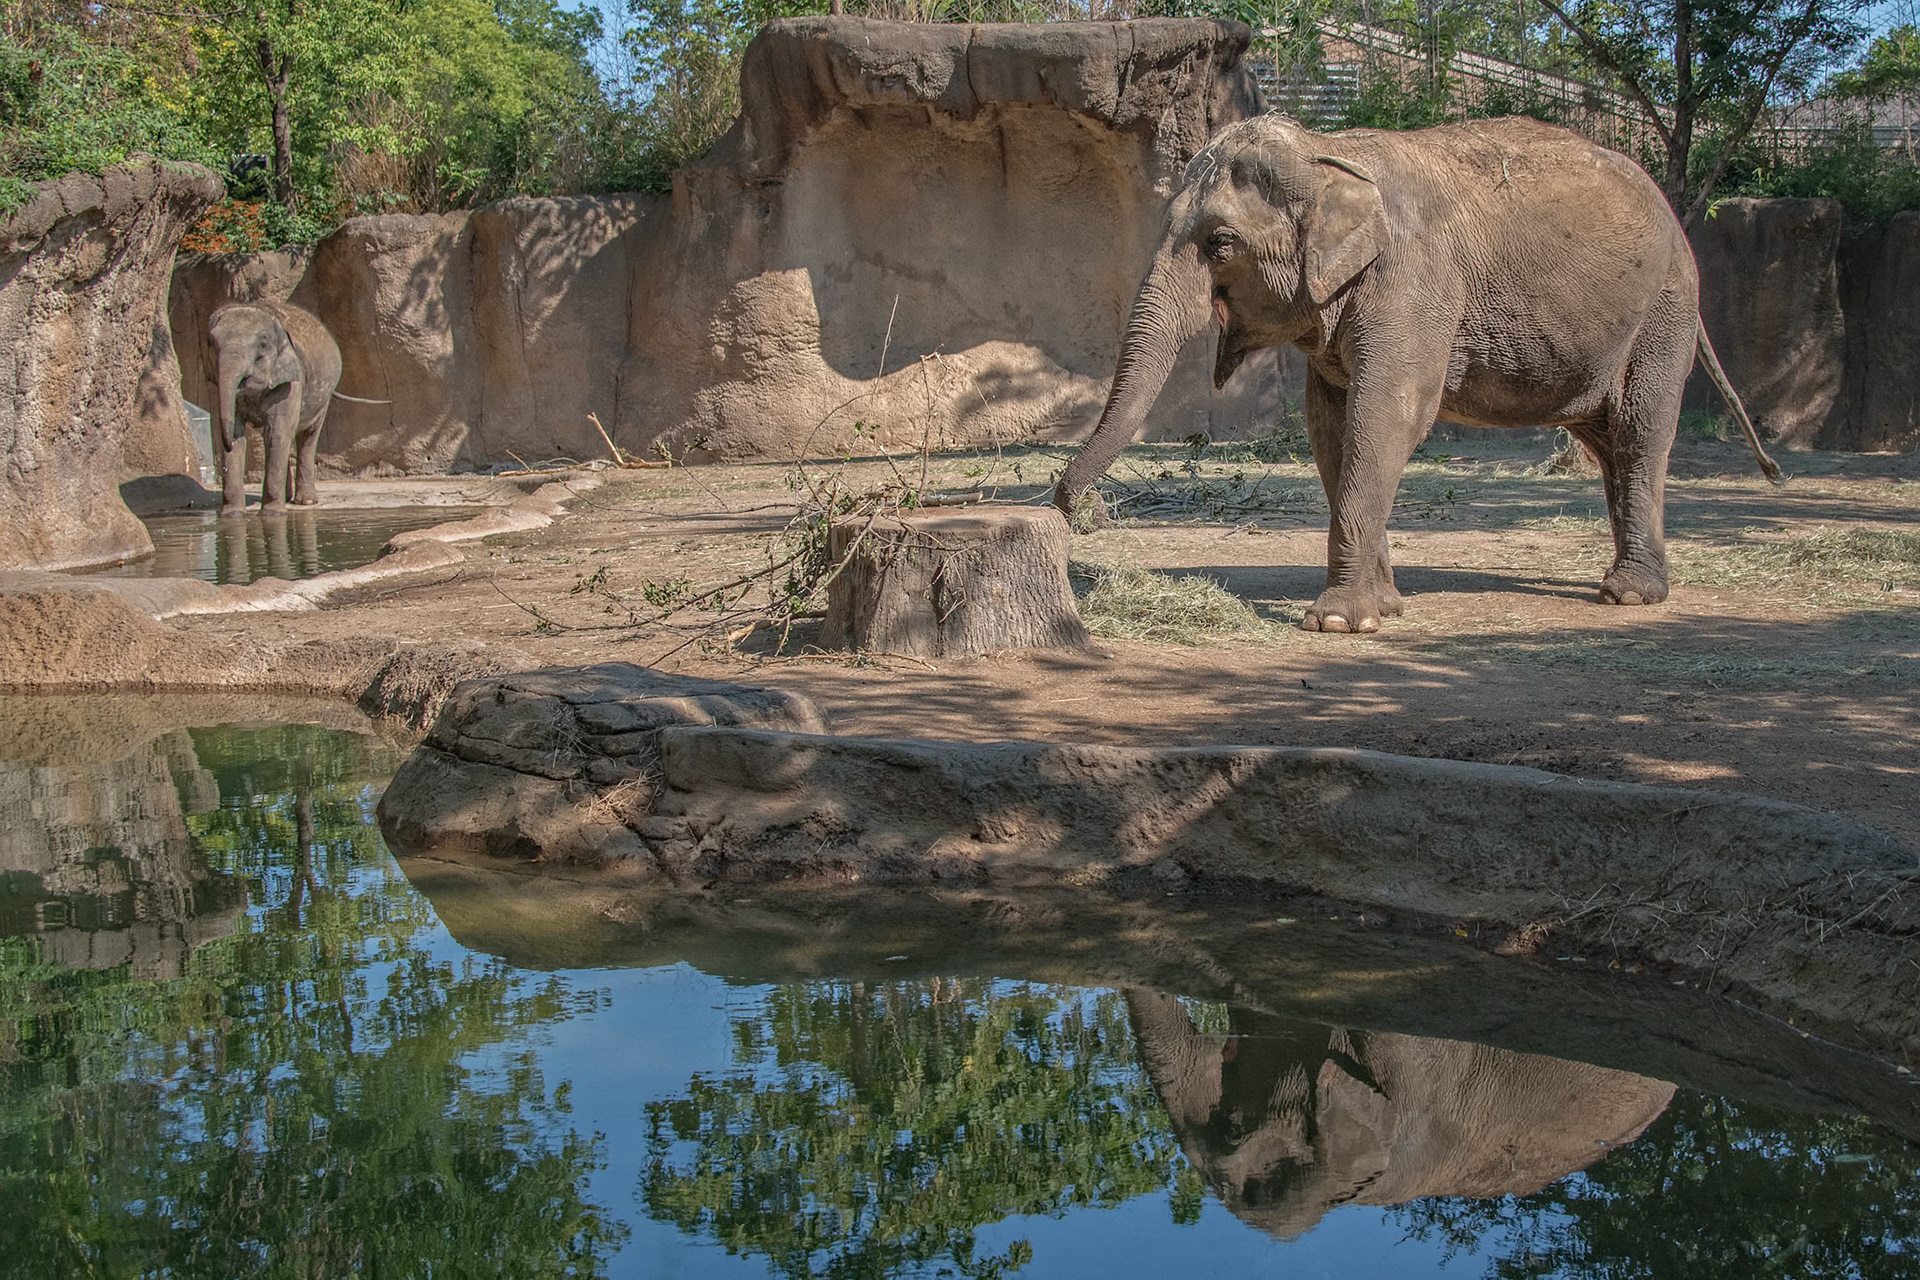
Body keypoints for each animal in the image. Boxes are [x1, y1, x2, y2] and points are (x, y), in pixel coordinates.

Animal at [207, 299, 343, 514]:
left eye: (262, 345)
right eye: (211, 343)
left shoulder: (291, 382)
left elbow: (277, 432)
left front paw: (272, 514)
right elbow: (239, 434)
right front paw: (232, 515)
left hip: (324, 397)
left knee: (307, 436)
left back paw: (306, 501)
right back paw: (287, 497)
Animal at [1055, 115, 1780, 633]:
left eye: (1220, 244)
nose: (1085, 511)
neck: (1328, 156)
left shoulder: (1414, 283)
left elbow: (1388, 412)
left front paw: (1339, 623)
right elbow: (1331, 428)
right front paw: (1384, 609)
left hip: (1665, 309)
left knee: (1639, 430)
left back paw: (1629, 596)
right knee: (1608, 440)